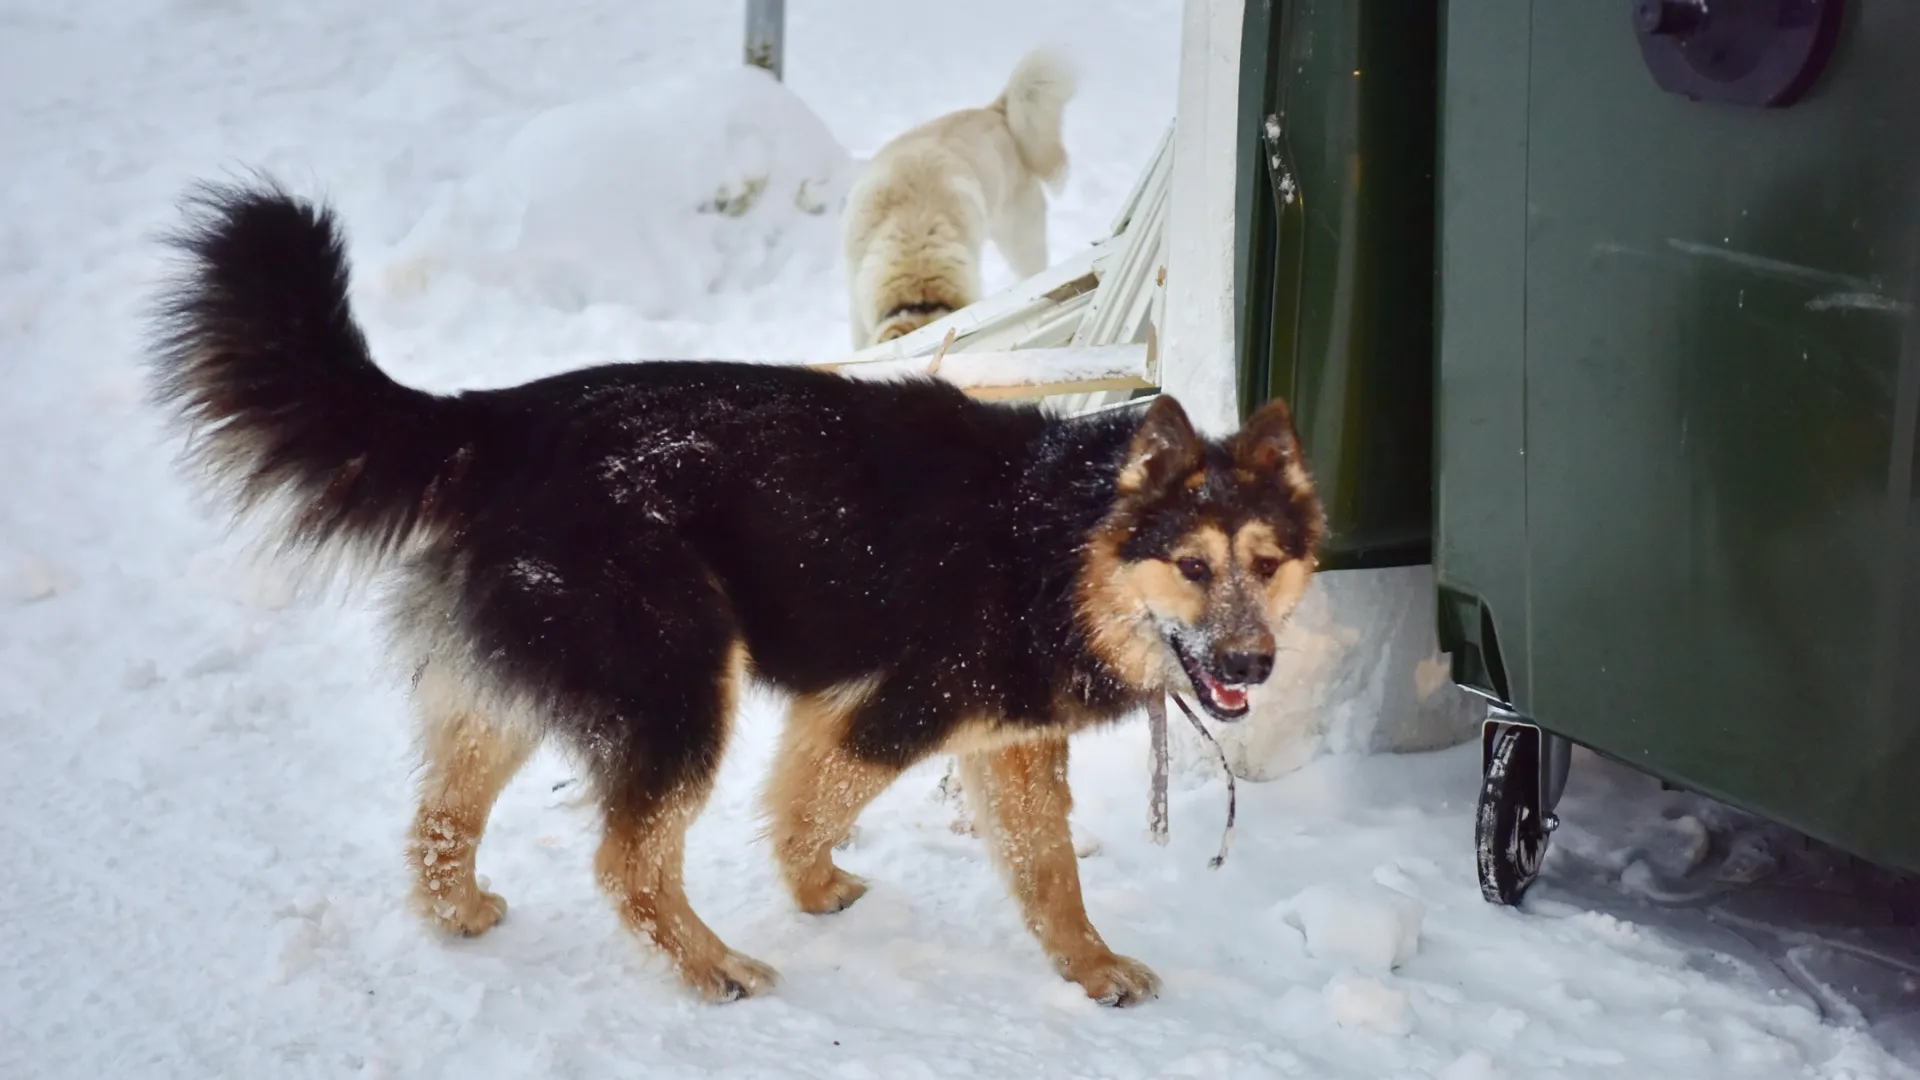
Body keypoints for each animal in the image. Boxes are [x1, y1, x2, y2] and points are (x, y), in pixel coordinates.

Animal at [149, 182, 1328, 999]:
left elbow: (1046, 873)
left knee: (440, 817)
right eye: (1191, 566)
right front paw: (808, 891)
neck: (1060, 538)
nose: (1250, 664)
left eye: (1268, 565)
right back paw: (712, 966)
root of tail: (502, 418)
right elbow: (806, 807)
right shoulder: (887, 714)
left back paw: (459, 910)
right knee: (627, 860)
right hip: (677, 680)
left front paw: (1089, 967)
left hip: (529, 676)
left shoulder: (999, 740)